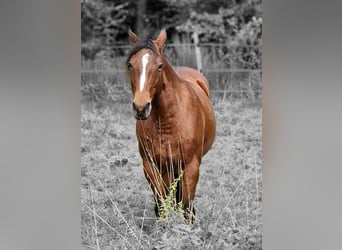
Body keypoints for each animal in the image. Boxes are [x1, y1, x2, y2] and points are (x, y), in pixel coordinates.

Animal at [125, 28, 216, 223]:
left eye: (159, 66)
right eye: (130, 65)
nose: (141, 108)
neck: (167, 120)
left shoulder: (191, 165)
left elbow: (187, 206)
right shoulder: (151, 165)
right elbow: (161, 204)